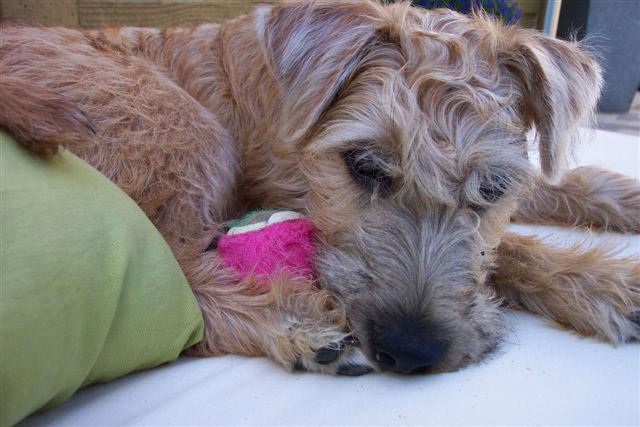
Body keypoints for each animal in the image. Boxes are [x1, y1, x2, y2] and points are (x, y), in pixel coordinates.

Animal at [1, 0, 639, 376]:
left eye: (493, 184)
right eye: (363, 164)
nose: (410, 351)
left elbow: (543, 196)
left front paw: (620, 200)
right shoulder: (288, 191)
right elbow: (513, 248)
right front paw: (604, 281)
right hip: (181, 126)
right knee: (173, 273)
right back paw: (292, 323)